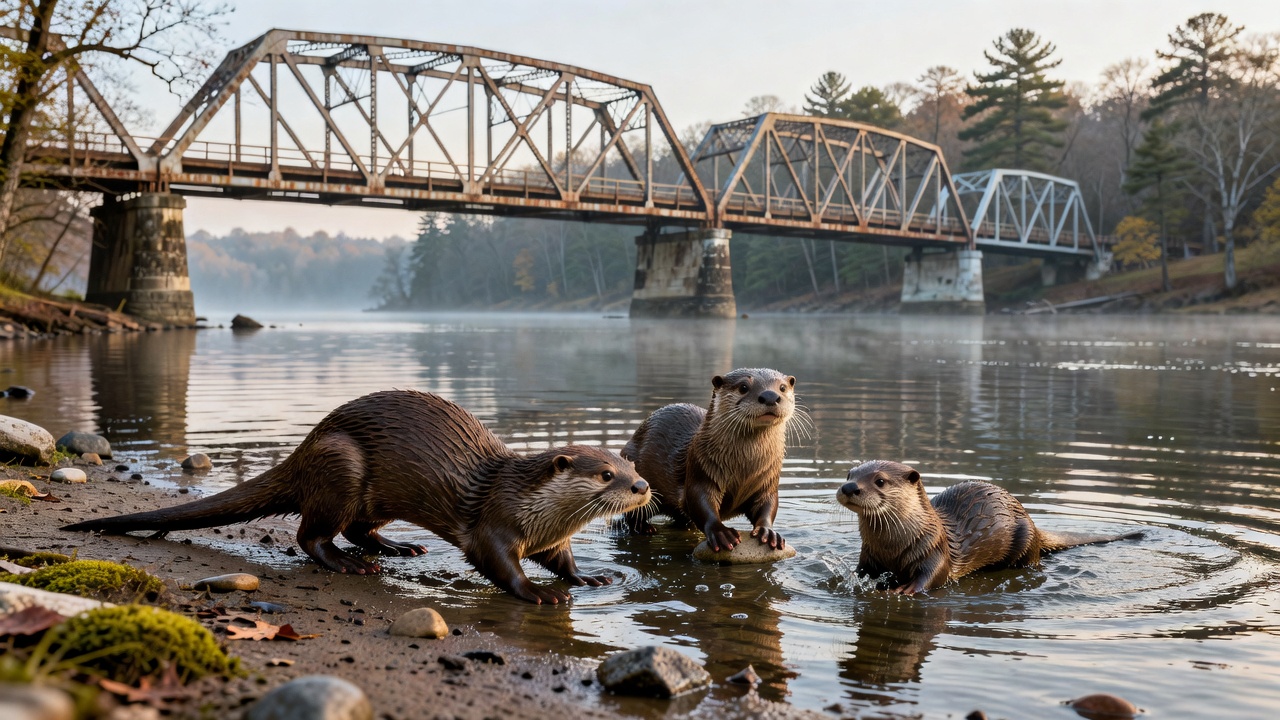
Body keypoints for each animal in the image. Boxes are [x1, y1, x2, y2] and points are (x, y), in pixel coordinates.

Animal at [65, 390, 651, 604]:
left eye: (632, 465)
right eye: (605, 474)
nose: (642, 487)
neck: (538, 513)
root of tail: (307, 447)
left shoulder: (550, 537)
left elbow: (563, 560)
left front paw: (588, 578)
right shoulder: (496, 523)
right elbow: (497, 564)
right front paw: (537, 592)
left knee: (356, 528)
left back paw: (397, 549)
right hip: (342, 466)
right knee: (312, 534)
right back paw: (350, 565)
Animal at [622, 368, 797, 552]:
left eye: (782, 387)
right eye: (743, 387)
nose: (770, 396)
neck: (745, 469)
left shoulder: (767, 481)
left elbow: (768, 505)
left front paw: (768, 532)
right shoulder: (701, 469)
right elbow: (701, 503)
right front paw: (721, 533)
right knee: (632, 514)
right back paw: (644, 527)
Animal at [836, 460, 1142, 595]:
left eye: (880, 481)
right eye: (850, 474)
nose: (849, 487)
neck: (892, 547)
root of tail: (1033, 522)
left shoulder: (934, 549)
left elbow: (932, 576)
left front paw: (906, 589)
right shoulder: (869, 555)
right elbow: (860, 572)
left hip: (1024, 541)